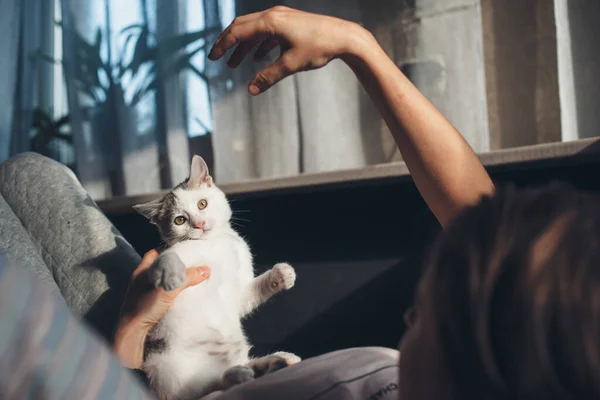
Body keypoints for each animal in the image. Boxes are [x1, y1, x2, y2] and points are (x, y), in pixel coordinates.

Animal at [133, 155, 298, 400]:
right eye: (179, 220)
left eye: (202, 204)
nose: (199, 224)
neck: (218, 241)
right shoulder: (168, 259)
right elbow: (168, 256)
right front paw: (169, 274)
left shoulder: (238, 292)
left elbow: (247, 296)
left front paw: (281, 274)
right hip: (164, 368)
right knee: (201, 389)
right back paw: (239, 374)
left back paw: (274, 362)